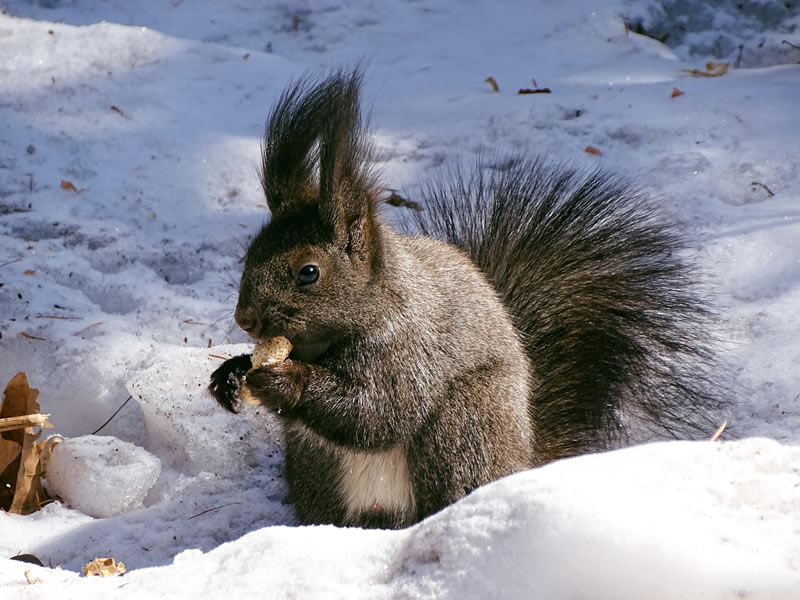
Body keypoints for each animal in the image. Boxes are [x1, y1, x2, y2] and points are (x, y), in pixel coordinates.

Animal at [206, 68, 724, 528]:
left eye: (309, 273)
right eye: (250, 252)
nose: (245, 319)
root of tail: (521, 459)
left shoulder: (410, 349)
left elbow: (379, 411)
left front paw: (283, 380)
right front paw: (230, 374)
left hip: (464, 426)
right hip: (316, 465)